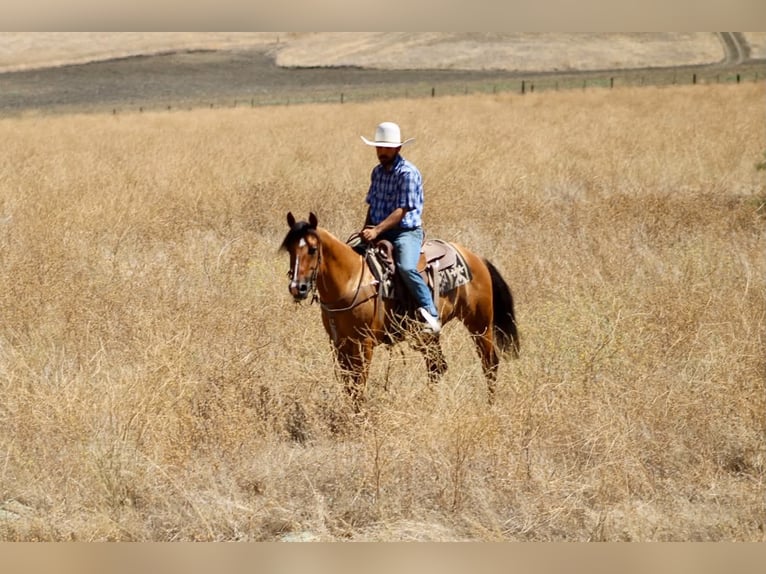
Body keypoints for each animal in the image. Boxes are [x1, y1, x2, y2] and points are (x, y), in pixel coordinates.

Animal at [280, 212, 519, 411]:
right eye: (290, 249)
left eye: (312, 249)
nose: (297, 288)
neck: (351, 280)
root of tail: (475, 258)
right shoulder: (339, 344)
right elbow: (349, 385)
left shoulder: (364, 344)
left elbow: (359, 383)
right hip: (429, 336)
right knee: (437, 366)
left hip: (480, 324)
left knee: (489, 363)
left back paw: (490, 405)